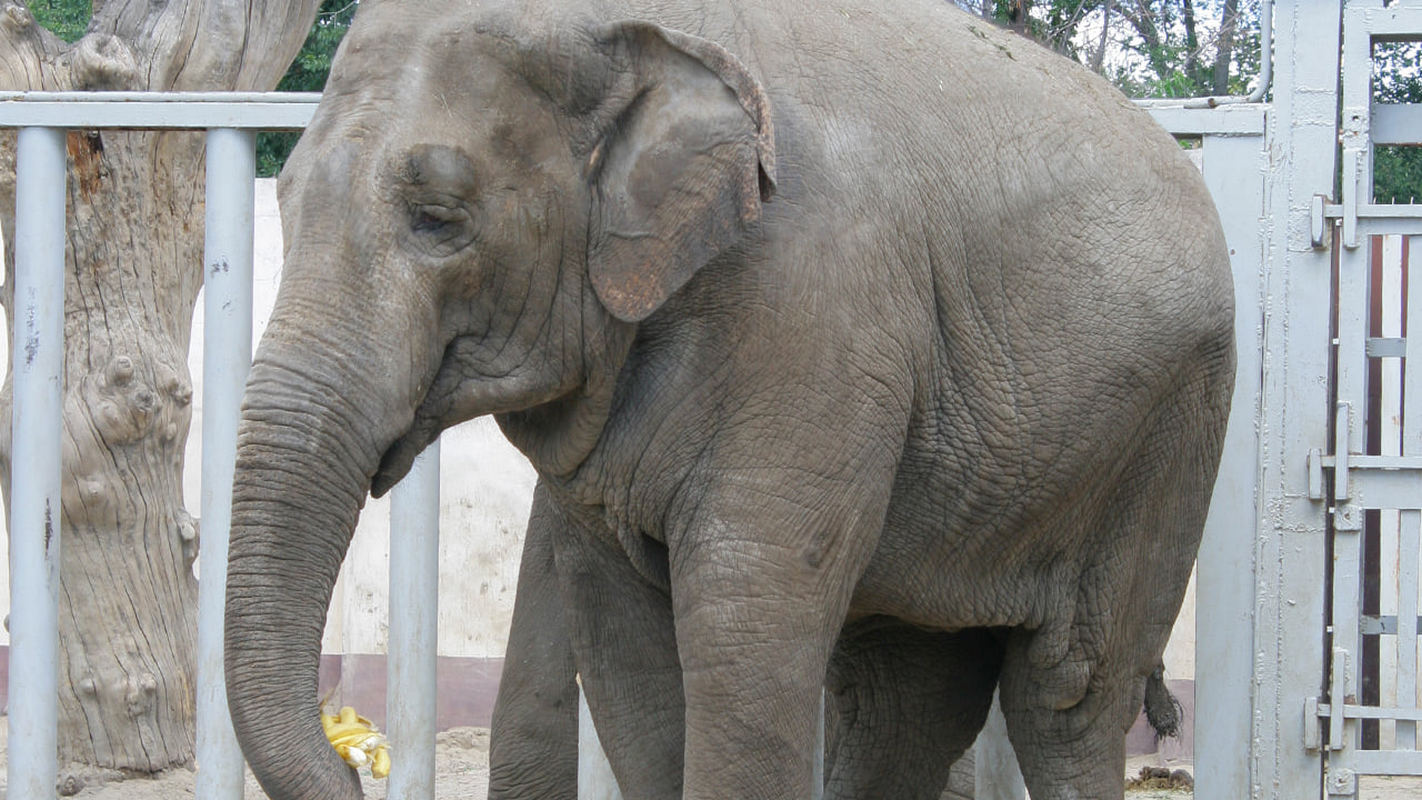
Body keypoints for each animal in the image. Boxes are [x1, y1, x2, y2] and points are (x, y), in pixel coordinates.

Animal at [221, 0, 1234, 795]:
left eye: (439, 220)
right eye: (285, 204)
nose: (355, 760)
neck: (630, 26)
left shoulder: (817, 314)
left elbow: (747, 625)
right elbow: (627, 649)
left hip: (1170, 429)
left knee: (1067, 693)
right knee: (905, 688)